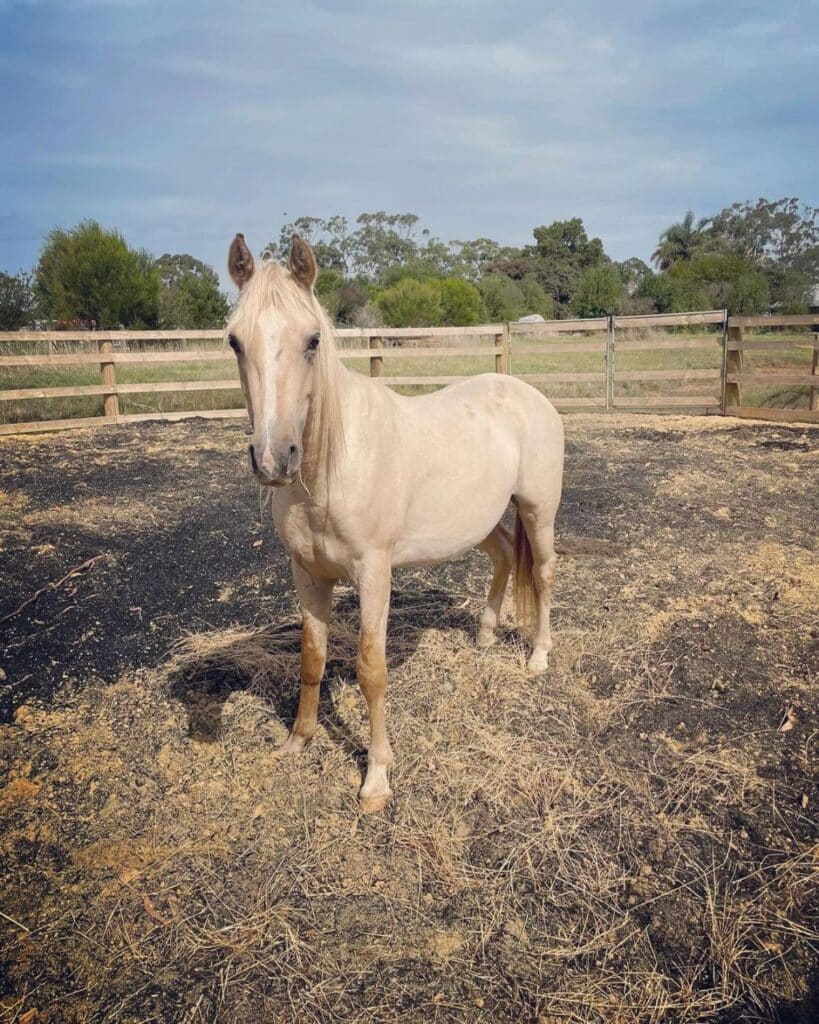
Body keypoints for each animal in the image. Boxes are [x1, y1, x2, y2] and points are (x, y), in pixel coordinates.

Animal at [225, 233, 564, 813]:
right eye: (233, 342)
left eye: (313, 340)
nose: (273, 459)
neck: (331, 467)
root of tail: (531, 395)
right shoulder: (307, 573)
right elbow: (312, 657)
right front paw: (298, 739)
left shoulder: (373, 573)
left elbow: (371, 670)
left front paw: (376, 779)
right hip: (482, 521)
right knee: (503, 557)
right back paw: (485, 635)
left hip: (538, 510)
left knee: (541, 572)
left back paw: (538, 656)